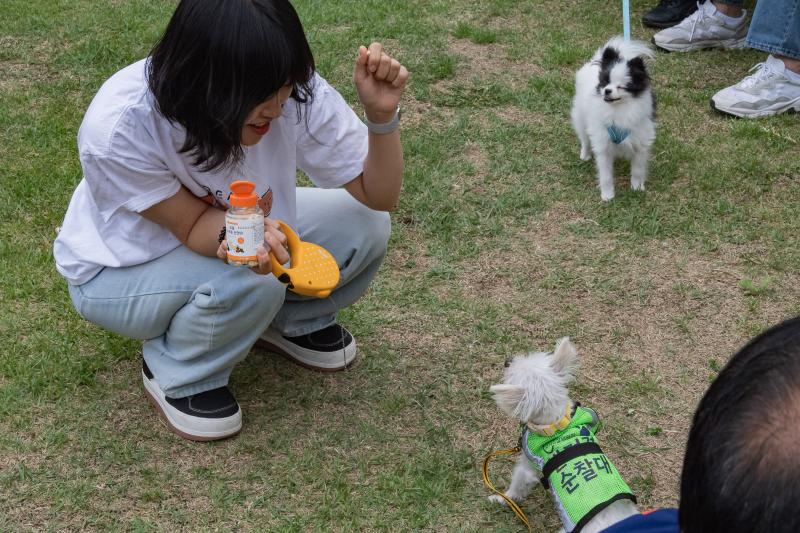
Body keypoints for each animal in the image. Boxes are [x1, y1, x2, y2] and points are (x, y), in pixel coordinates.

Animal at [488, 336, 636, 532]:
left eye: (511, 374)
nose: (507, 361)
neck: (557, 424)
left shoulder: (527, 466)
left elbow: (516, 486)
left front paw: (500, 498)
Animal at [572, 37, 660, 200]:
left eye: (621, 87)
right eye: (605, 82)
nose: (607, 91)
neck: (619, 109)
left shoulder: (640, 143)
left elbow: (638, 171)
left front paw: (637, 188)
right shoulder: (603, 144)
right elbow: (606, 175)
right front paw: (607, 195)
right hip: (580, 118)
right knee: (584, 139)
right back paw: (584, 155)